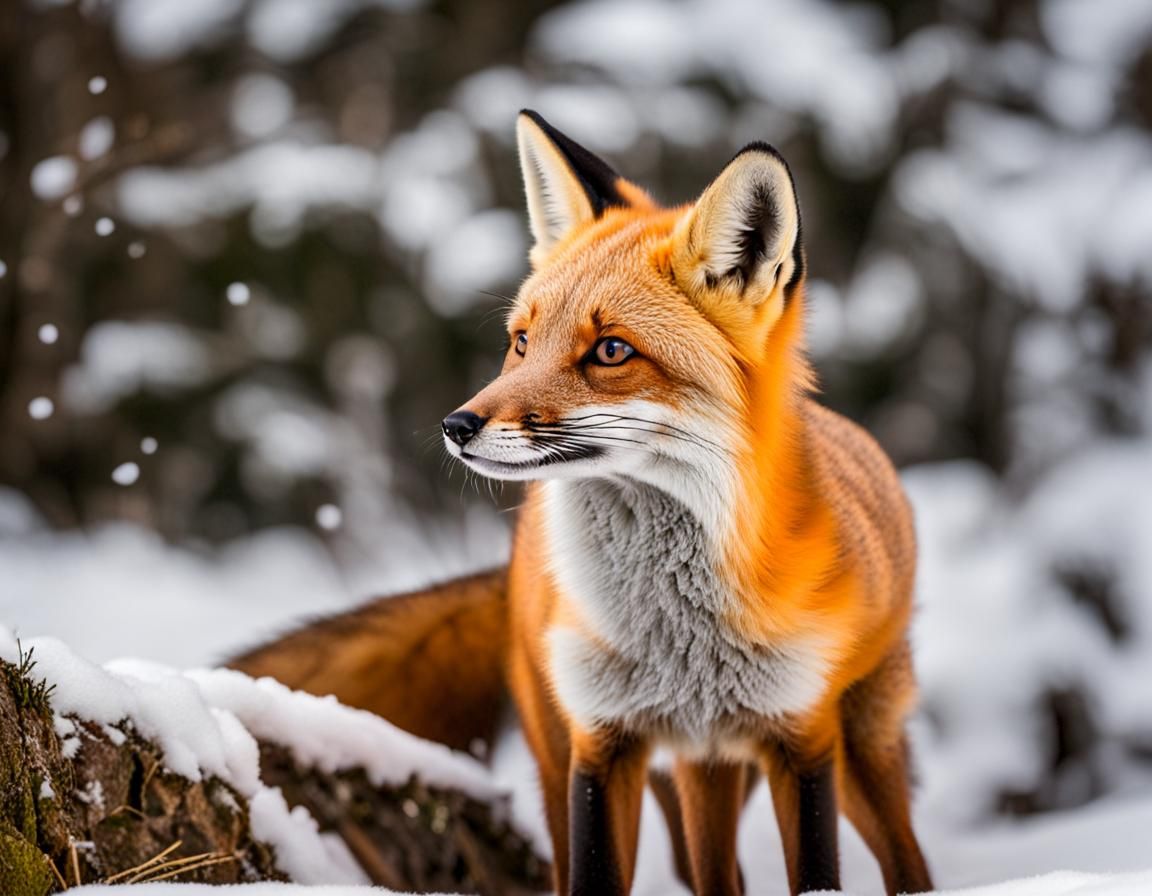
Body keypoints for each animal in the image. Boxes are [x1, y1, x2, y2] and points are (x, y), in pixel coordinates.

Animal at [233, 110, 934, 896]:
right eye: (521, 342)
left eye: (610, 351)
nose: (456, 426)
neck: (679, 640)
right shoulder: (601, 744)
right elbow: (595, 874)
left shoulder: (803, 740)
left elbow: (817, 874)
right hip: (586, 754)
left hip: (859, 745)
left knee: (906, 864)